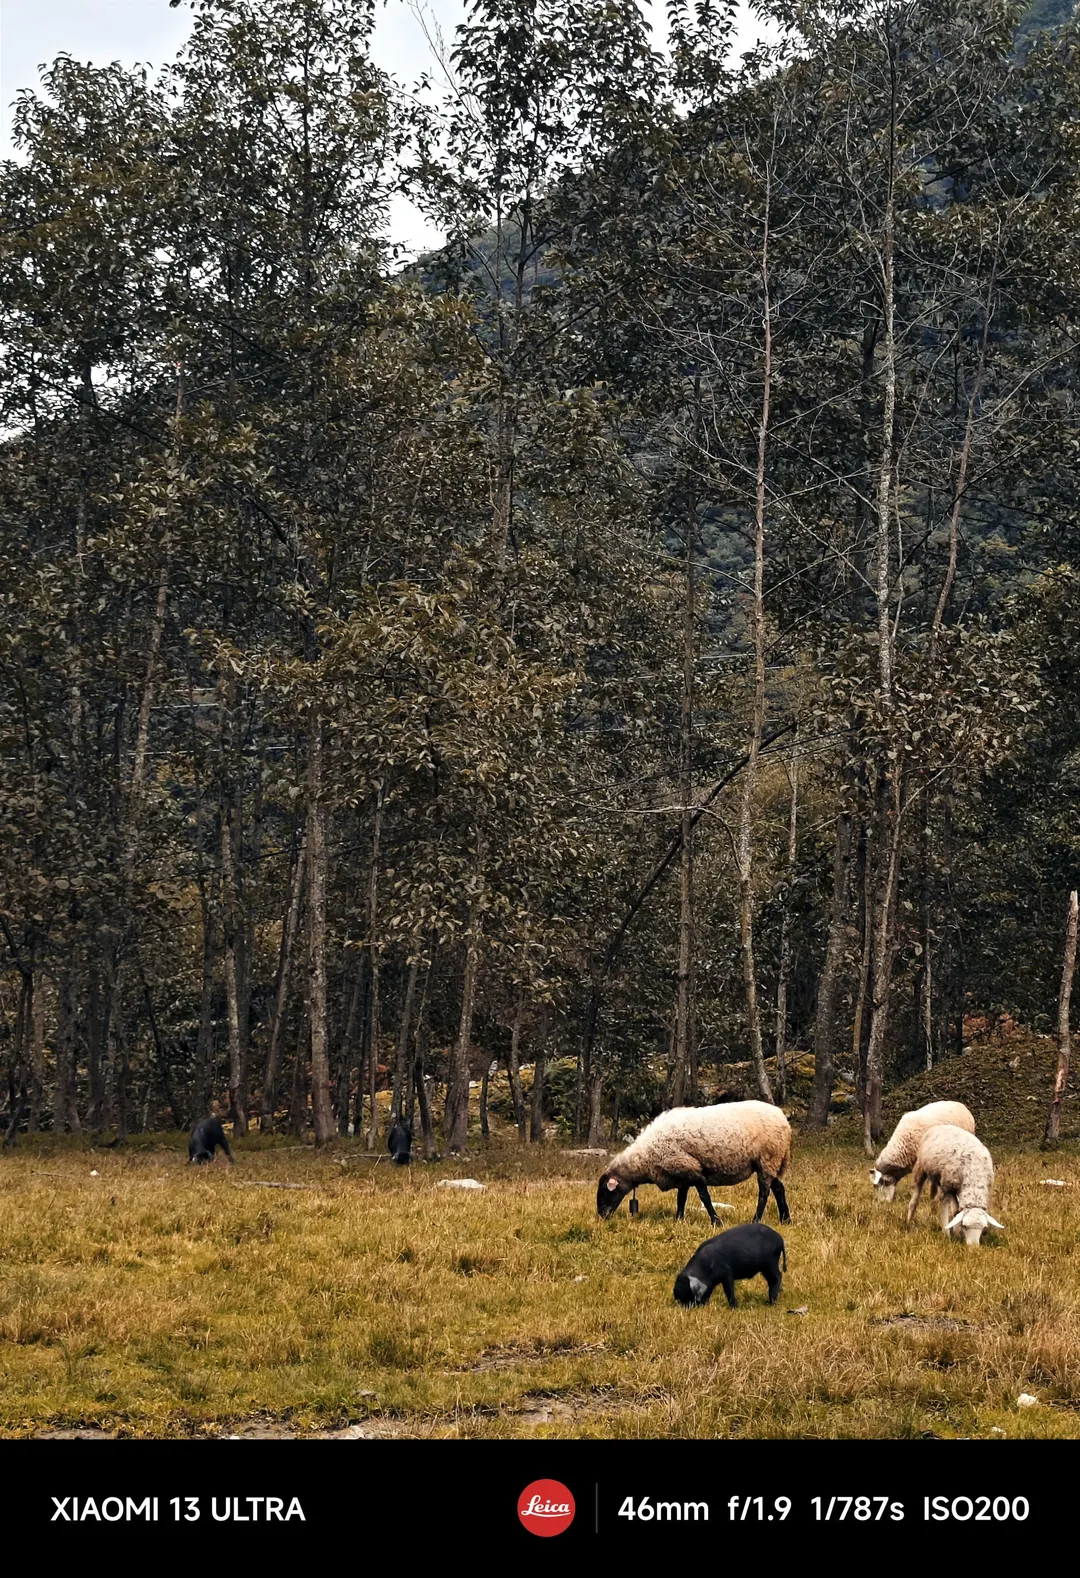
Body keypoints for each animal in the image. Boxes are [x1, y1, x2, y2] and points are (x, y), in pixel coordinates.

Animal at [593, 1104, 789, 1224]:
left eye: (606, 1191)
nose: (601, 1216)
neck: (646, 1157)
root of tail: (783, 1119)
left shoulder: (691, 1169)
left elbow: (705, 1197)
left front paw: (716, 1221)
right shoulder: (681, 1172)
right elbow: (681, 1198)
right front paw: (679, 1219)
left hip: (767, 1158)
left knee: (764, 1193)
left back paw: (756, 1220)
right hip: (768, 1163)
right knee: (778, 1188)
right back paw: (786, 1219)